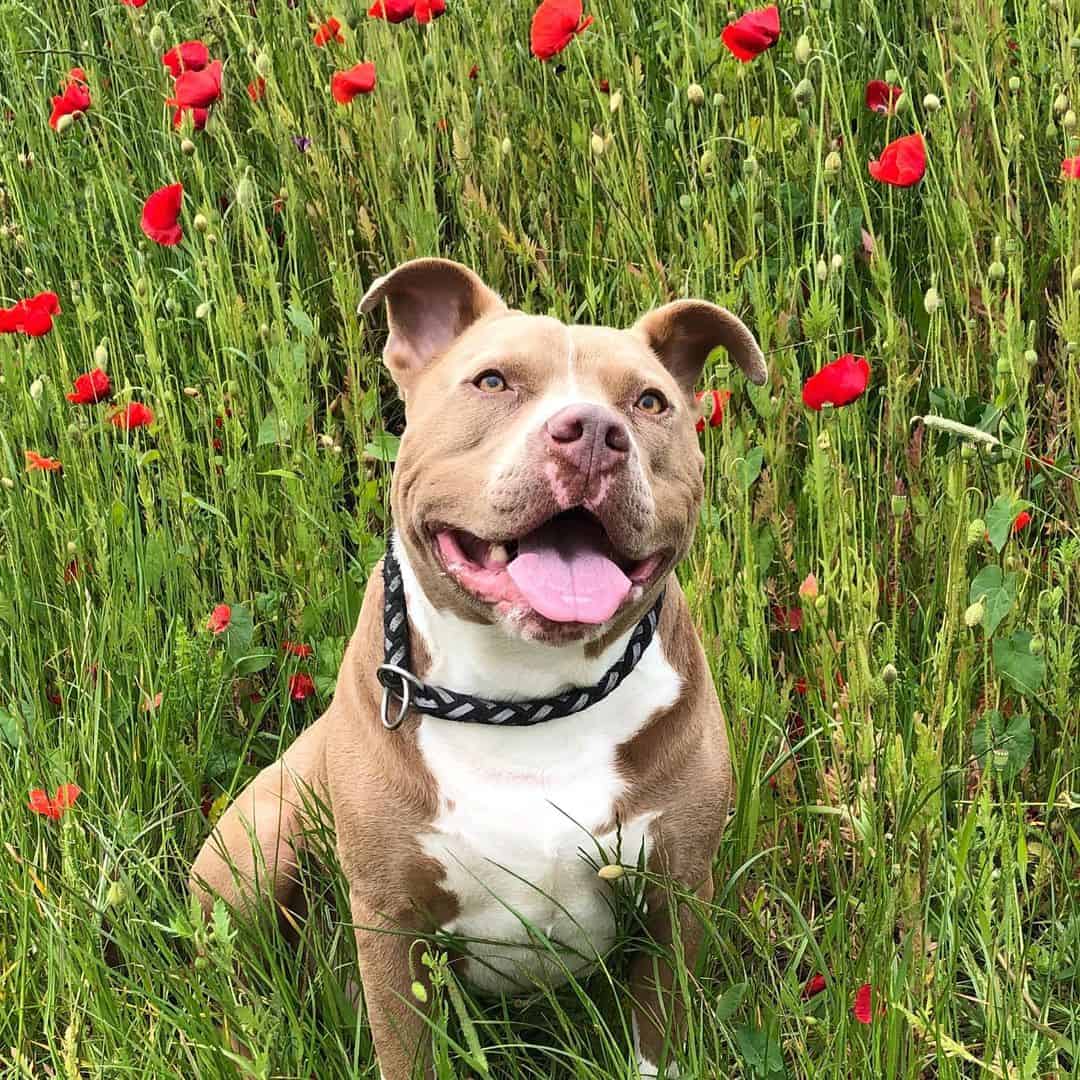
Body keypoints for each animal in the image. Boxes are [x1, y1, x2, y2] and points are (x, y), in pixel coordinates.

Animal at [192, 257, 768, 1075]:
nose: (594, 433)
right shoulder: (390, 919)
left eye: (650, 402)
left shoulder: (676, 894)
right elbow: (405, 1049)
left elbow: (655, 1038)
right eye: (492, 381)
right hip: (251, 851)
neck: (525, 698)